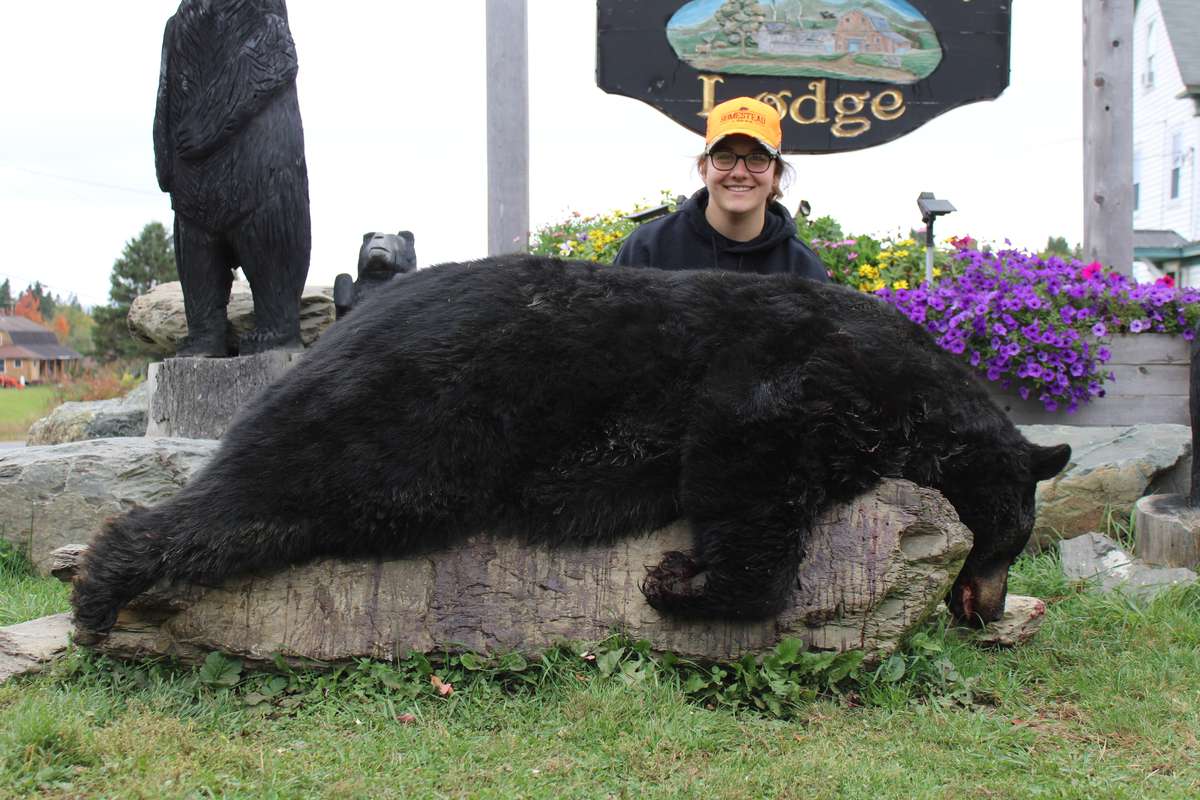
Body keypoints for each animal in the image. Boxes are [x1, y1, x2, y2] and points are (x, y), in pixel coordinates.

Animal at [70, 260, 1075, 642]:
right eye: (1011, 541)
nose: (986, 608)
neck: (918, 399)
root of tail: (344, 324)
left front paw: (681, 579)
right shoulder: (797, 377)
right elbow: (744, 458)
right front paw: (680, 582)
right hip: (405, 427)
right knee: (267, 496)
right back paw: (99, 589)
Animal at [154, 0, 312, 357]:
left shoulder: (269, 27)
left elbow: (264, 66)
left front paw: (191, 135)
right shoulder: (172, 32)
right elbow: (163, 88)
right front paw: (164, 164)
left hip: (269, 204)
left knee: (273, 259)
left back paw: (268, 338)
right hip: (190, 225)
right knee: (199, 268)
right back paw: (197, 345)